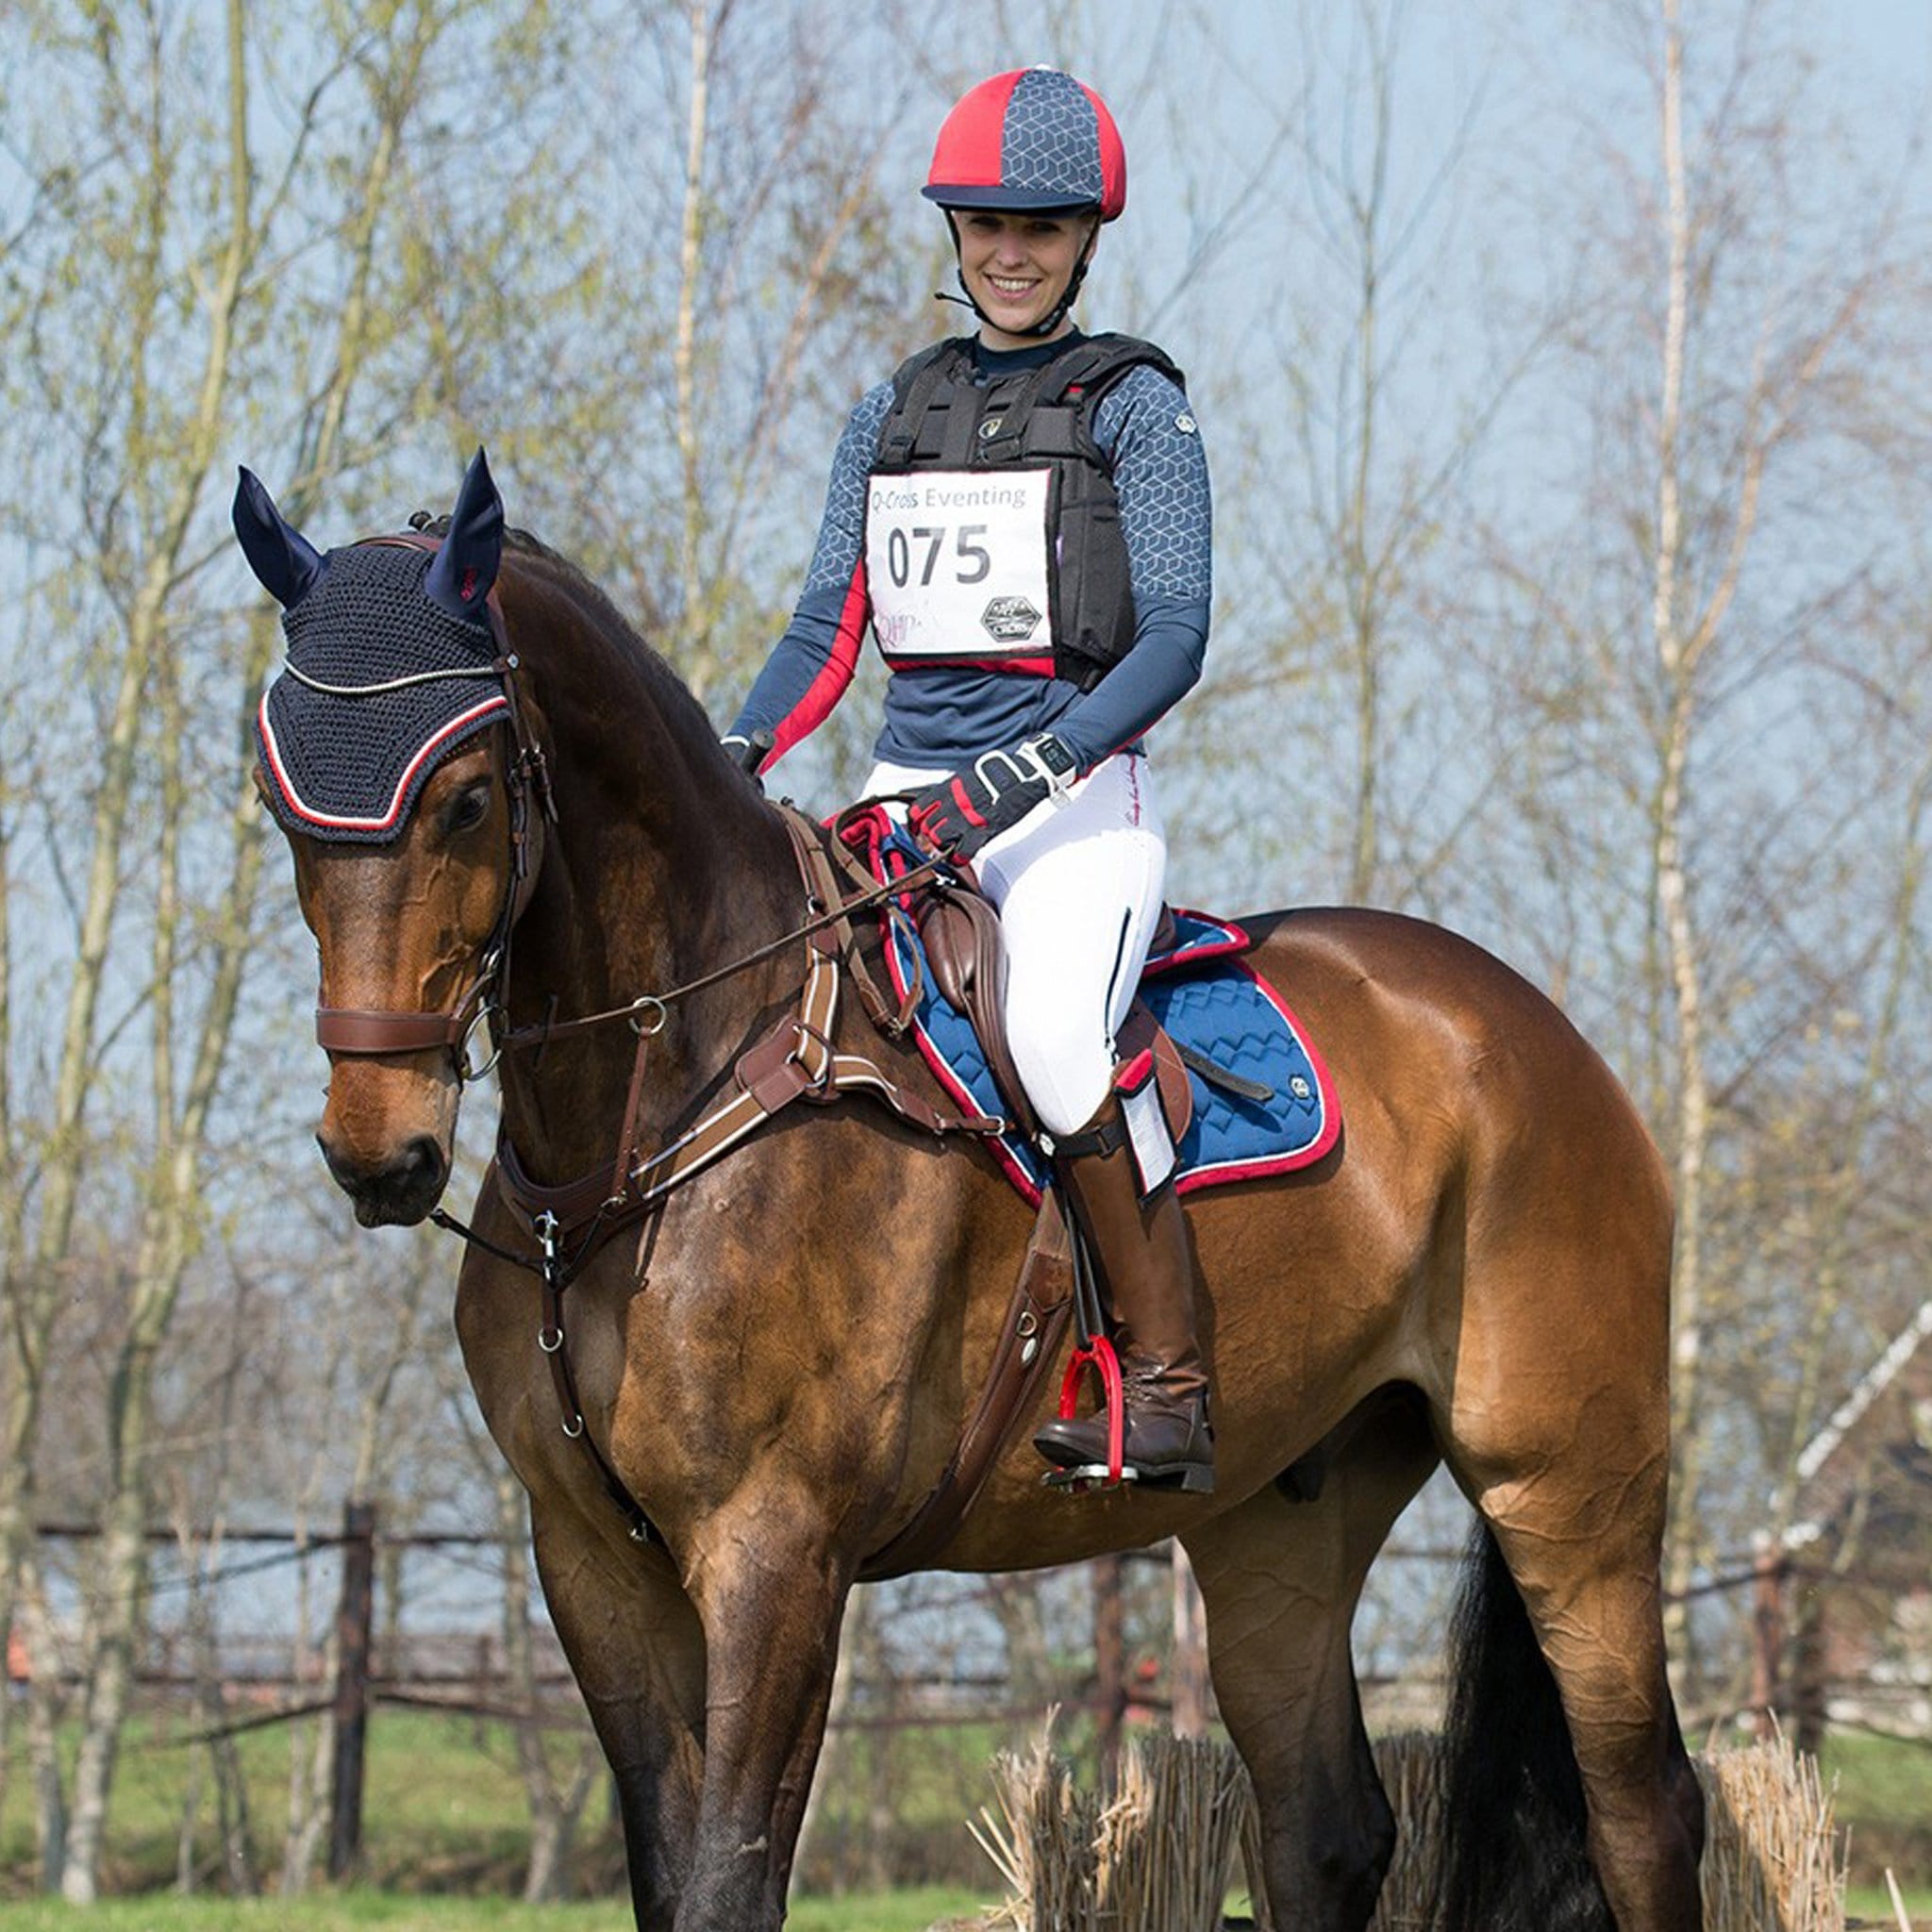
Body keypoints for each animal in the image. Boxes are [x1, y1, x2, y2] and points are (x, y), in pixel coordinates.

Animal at [238, 451, 1705, 1932]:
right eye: (279, 802)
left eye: (467, 801)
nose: (378, 1150)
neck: (657, 1108)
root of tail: (1535, 1031)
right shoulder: (593, 1564)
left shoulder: (777, 1553)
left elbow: (728, 1880)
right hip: (1280, 1517)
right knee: (1324, 1829)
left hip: (1567, 1488)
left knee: (1641, 1810)